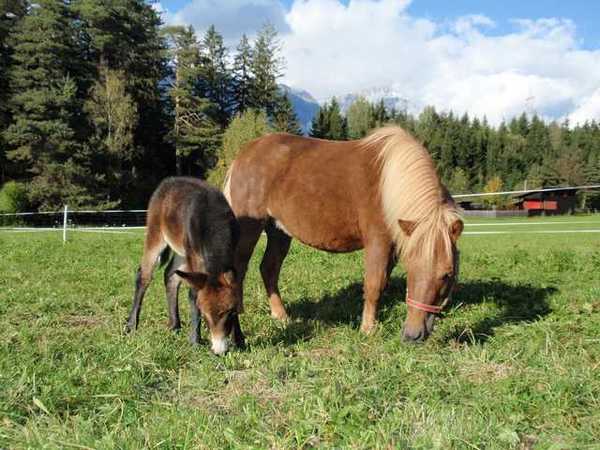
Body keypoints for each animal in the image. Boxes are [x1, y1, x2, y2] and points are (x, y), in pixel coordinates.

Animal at [124, 177, 244, 355]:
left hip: (182, 253)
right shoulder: (196, 259)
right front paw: (195, 340)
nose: (219, 351)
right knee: (144, 276)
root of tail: (169, 181)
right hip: (157, 237)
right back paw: (131, 325)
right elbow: (193, 294)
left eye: (230, 312)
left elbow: (236, 290)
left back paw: (174, 325)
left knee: (170, 275)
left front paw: (240, 340)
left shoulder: (232, 256)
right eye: (204, 314)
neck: (214, 224)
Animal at [224, 126, 463, 342]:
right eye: (411, 268)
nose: (414, 335)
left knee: (269, 268)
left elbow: (383, 282)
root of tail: (243, 155)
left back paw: (281, 316)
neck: (390, 185)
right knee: (239, 269)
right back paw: (238, 312)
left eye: (447, 274)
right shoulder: (378, 242)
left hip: (278, 230)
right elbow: (374, 284)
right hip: (250, 229)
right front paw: (367, 329)